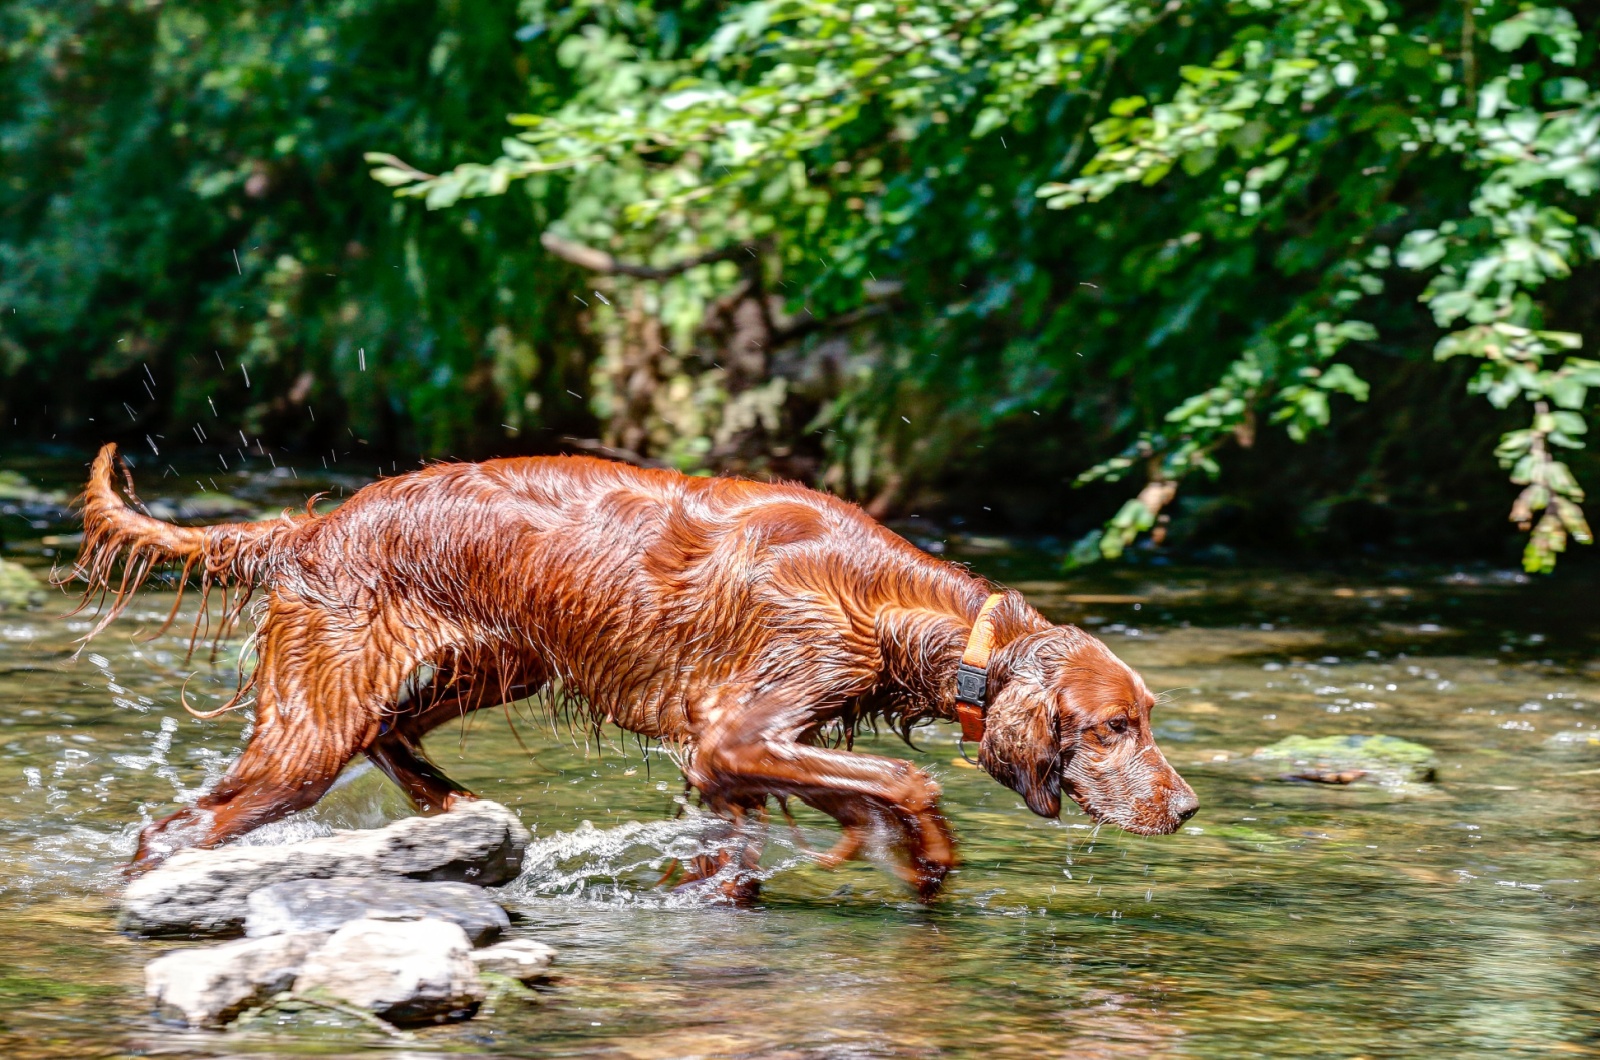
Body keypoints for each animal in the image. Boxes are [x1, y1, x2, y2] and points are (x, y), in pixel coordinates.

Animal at [68, 445, 1196, 903]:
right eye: (1112, 729)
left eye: (1145, 716)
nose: (1185, 809)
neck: (887, 603)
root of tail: (314, 525)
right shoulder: (737, 731)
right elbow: (904, 781)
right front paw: (924, 854)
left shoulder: (728, 766)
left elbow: (738, 856)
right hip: (312, 728)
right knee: (176, 828)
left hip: (499, 663)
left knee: (396, 734)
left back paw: (456, 808)